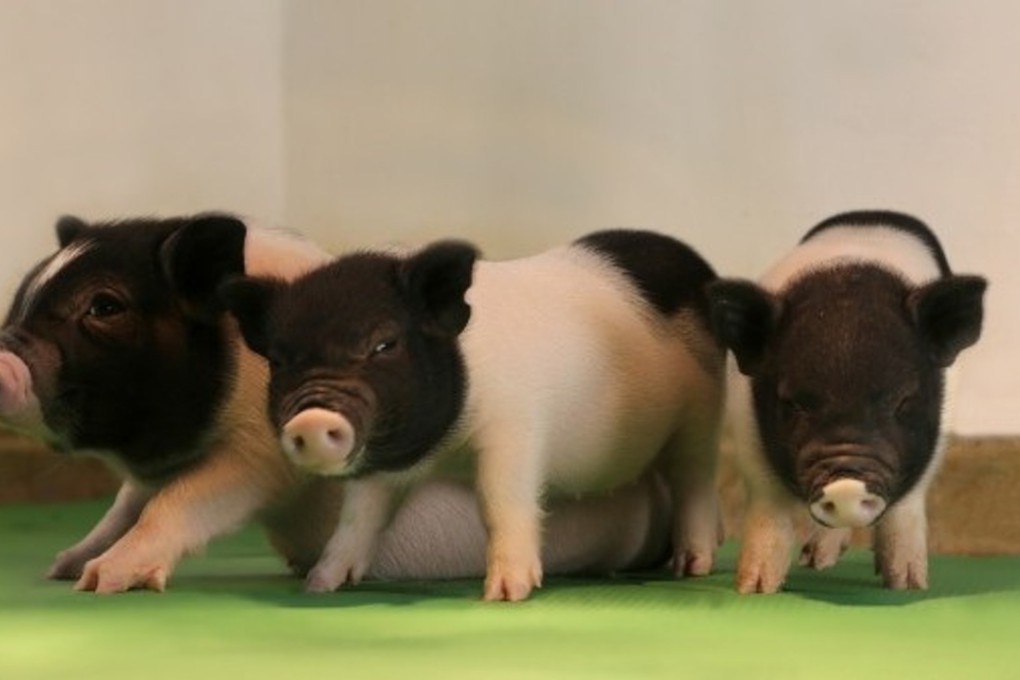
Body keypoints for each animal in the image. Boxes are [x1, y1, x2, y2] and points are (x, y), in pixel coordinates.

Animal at [0, 214, 676, 593]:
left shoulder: (257, 458)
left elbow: (176, 504)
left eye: (104, 306)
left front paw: (100, 582)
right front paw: (63, 567)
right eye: (24, 292)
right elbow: (123, 506)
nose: (5, 354)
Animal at [220, 229, 726, 601]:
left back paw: (693, 566)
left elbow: (501, 501)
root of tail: (694, 262)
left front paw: (504, 594)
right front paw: (320, 585)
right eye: (279, 359)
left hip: (702, 414)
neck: (446, 451)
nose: (309, 418)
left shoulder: (516, 431)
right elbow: (359, 516)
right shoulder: (386, 462)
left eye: (384, 344)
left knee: (695, 480)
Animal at [707, 210, 986, 593]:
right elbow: (770, 511)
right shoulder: (748, 432)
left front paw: (908, 584)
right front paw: (754, 588)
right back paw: (814, 562)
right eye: (793, 403)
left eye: (902, 400)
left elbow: (904, 510)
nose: (846, 485)